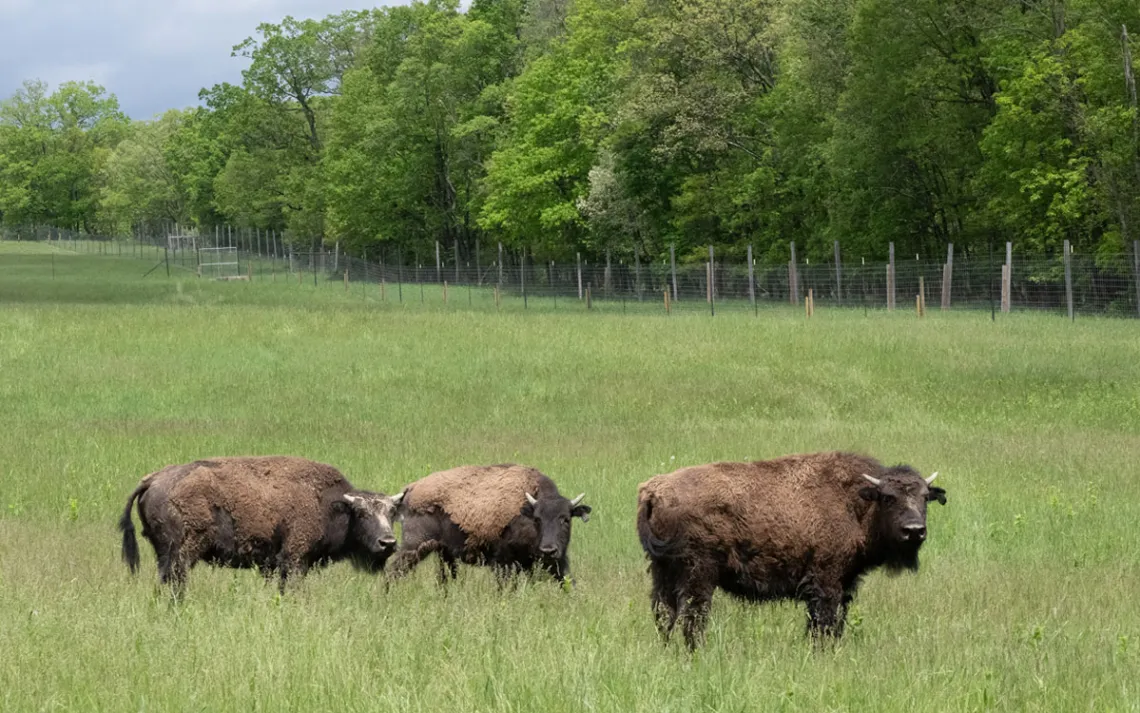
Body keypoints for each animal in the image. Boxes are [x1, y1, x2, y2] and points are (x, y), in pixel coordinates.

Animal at [119, 456, 403, 595]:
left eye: (392, 513)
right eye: (362, 514)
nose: (388, 543)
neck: (329, 503)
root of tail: (153, 480)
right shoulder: (295, 559)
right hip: (182, 553)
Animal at [389, 464, 591, 585]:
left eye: (566, 519)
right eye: (537, 519)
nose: (549, 550)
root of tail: (410, 489)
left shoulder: (557, 562)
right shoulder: (504, 563)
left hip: (443, 553)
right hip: (414, 547)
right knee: (393, 570)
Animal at [636, 451, 947, 648]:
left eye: (924, 498)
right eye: (888, 498)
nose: (914, 530)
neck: (856, 504)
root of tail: (654, 490)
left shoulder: (845, 583)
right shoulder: (825, 582)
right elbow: (823, 622)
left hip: (662, 571)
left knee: (665, 614)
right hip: (698, 575)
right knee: (693, 617)